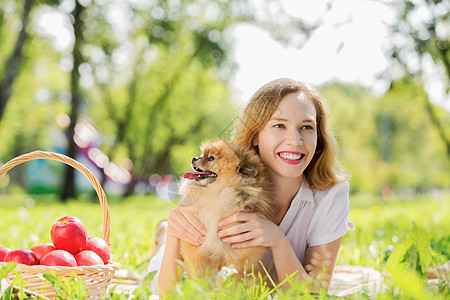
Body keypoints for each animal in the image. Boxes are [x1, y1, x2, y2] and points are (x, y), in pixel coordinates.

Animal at [178, 139, 272, 278]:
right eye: (202, 154)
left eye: (211, 158)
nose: (194, 158)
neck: (218, 194)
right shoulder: (197, 245)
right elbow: (199, 271)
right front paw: (200, 284)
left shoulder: (239, 251)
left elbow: (229, 275)